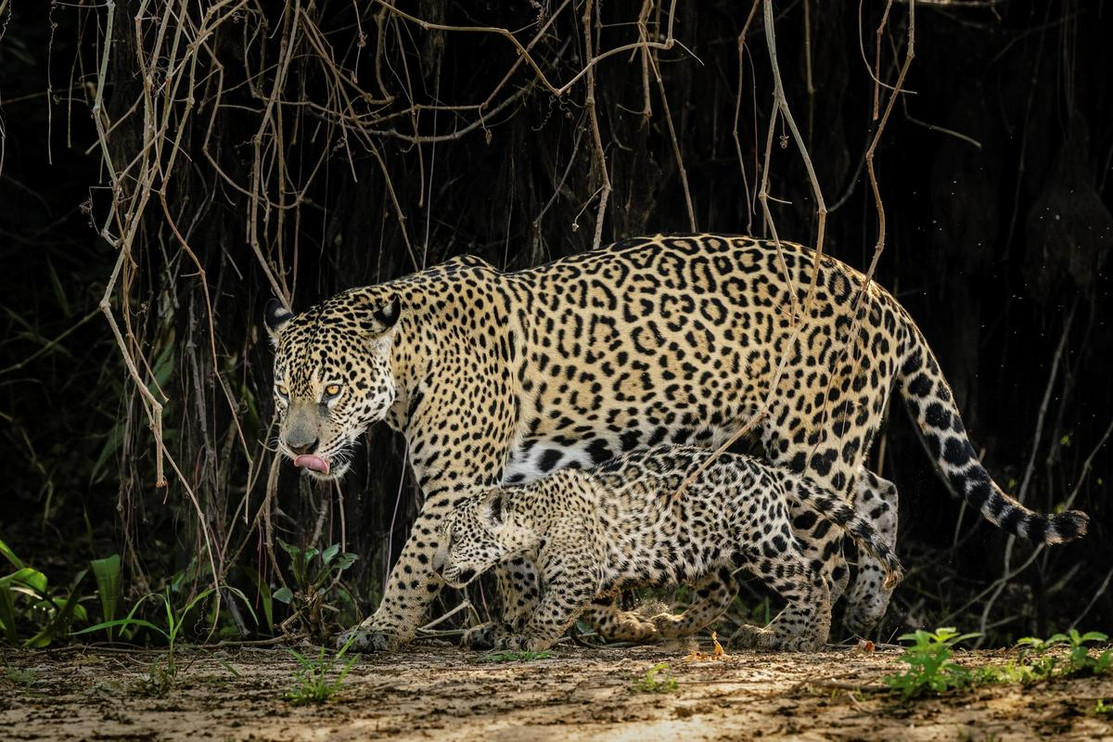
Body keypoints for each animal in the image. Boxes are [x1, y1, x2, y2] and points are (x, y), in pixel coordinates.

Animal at [434, 444, 905, 652]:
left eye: (456, 537)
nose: (438, 568)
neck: (534, 518)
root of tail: (765, 468)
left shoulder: (579, 574)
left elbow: (550, 611)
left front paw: (527, 639)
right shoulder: (599, 576)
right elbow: (597, 614)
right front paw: (636, 628)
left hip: (763, 542)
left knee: (813, 580)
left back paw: (807, 638)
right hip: (704, 547)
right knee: (725, 590)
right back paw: (673, 625)